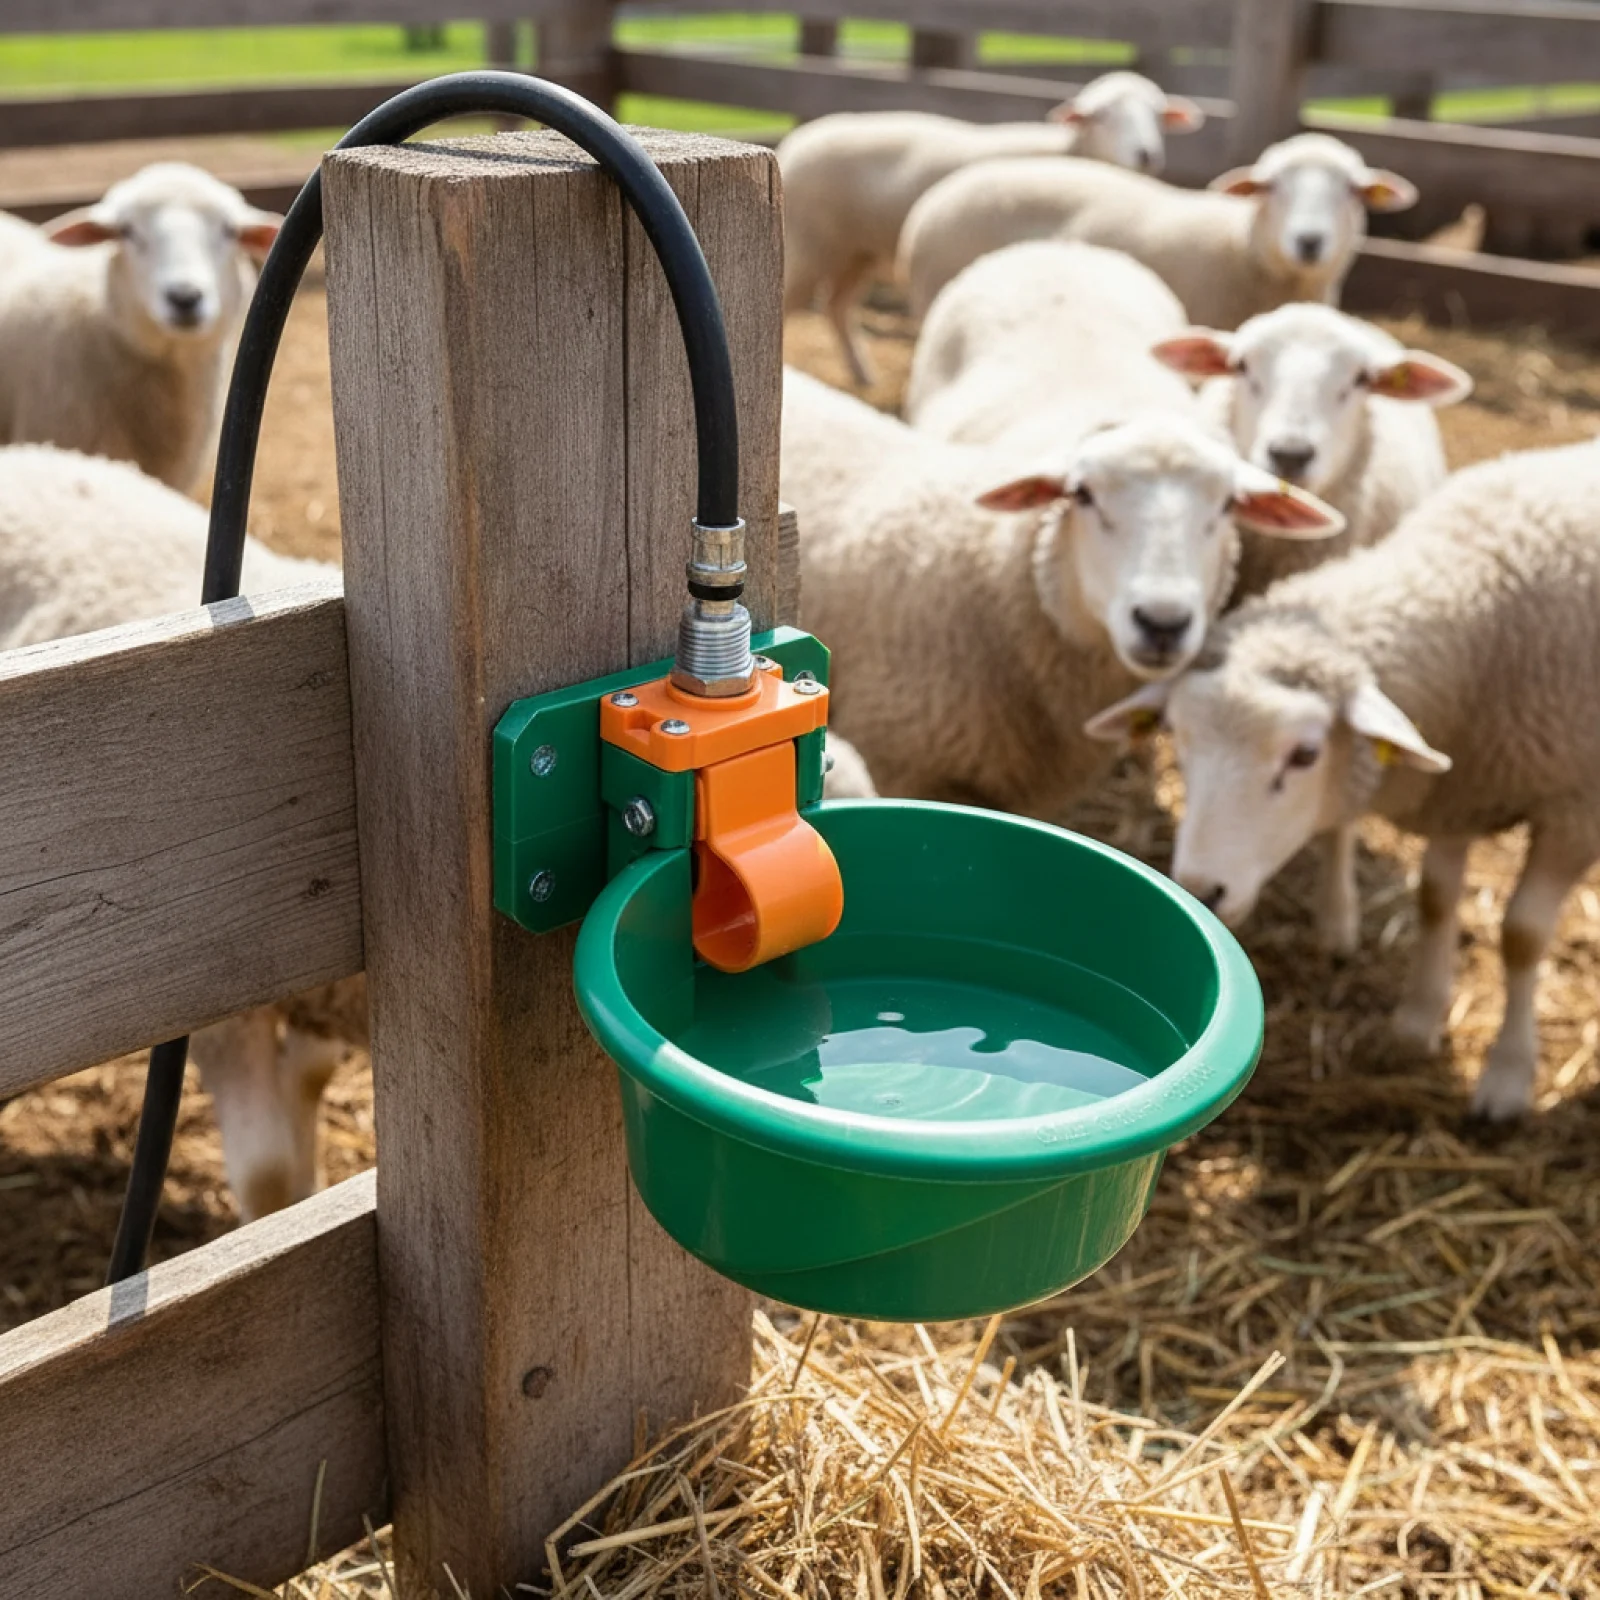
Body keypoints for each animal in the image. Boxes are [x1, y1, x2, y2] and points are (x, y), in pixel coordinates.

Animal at [779, 72, 1204, 387]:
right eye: (1101, 115)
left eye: (1157, 114)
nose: (1146, 154)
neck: (1071, 149)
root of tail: (800, 138)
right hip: (811, 245)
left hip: (856, 252)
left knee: (836, 306)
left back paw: (863, 373)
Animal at [1085, 438, 1600, 1119]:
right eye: (1180, 740)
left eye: (1305, 755)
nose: (1201, 889)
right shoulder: (1460, 790)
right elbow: (1436, 899)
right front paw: (1417, 1020)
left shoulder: (1575, 811)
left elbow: (1521, 935)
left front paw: (1508, 1078)